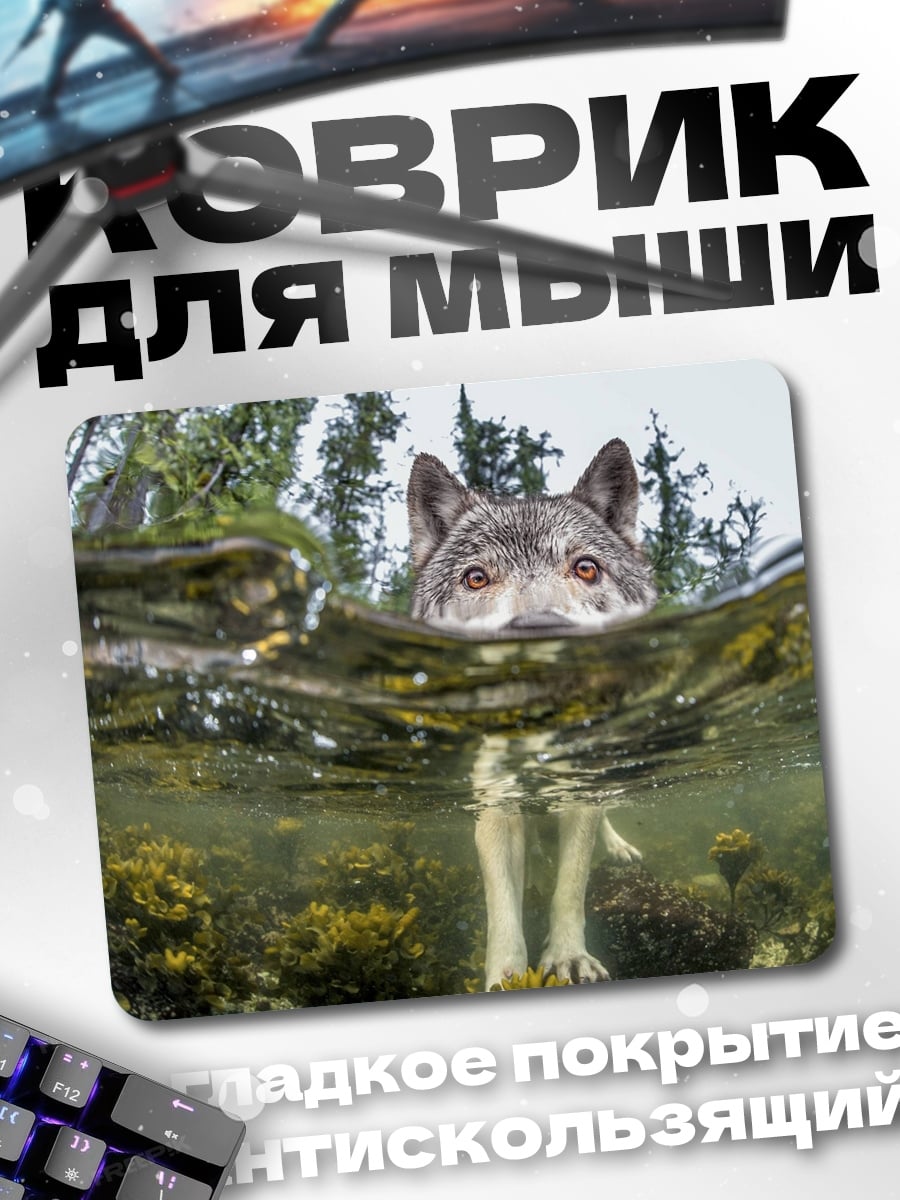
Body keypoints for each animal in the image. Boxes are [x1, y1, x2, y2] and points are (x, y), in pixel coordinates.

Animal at [407, 439, 657, 989]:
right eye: (476, 578)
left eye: (585, 568)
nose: (540, 629)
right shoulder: (496, 804)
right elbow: (503, 907)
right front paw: (504, 977)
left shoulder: (576, 794)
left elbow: (570, 887)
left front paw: (568, 958)